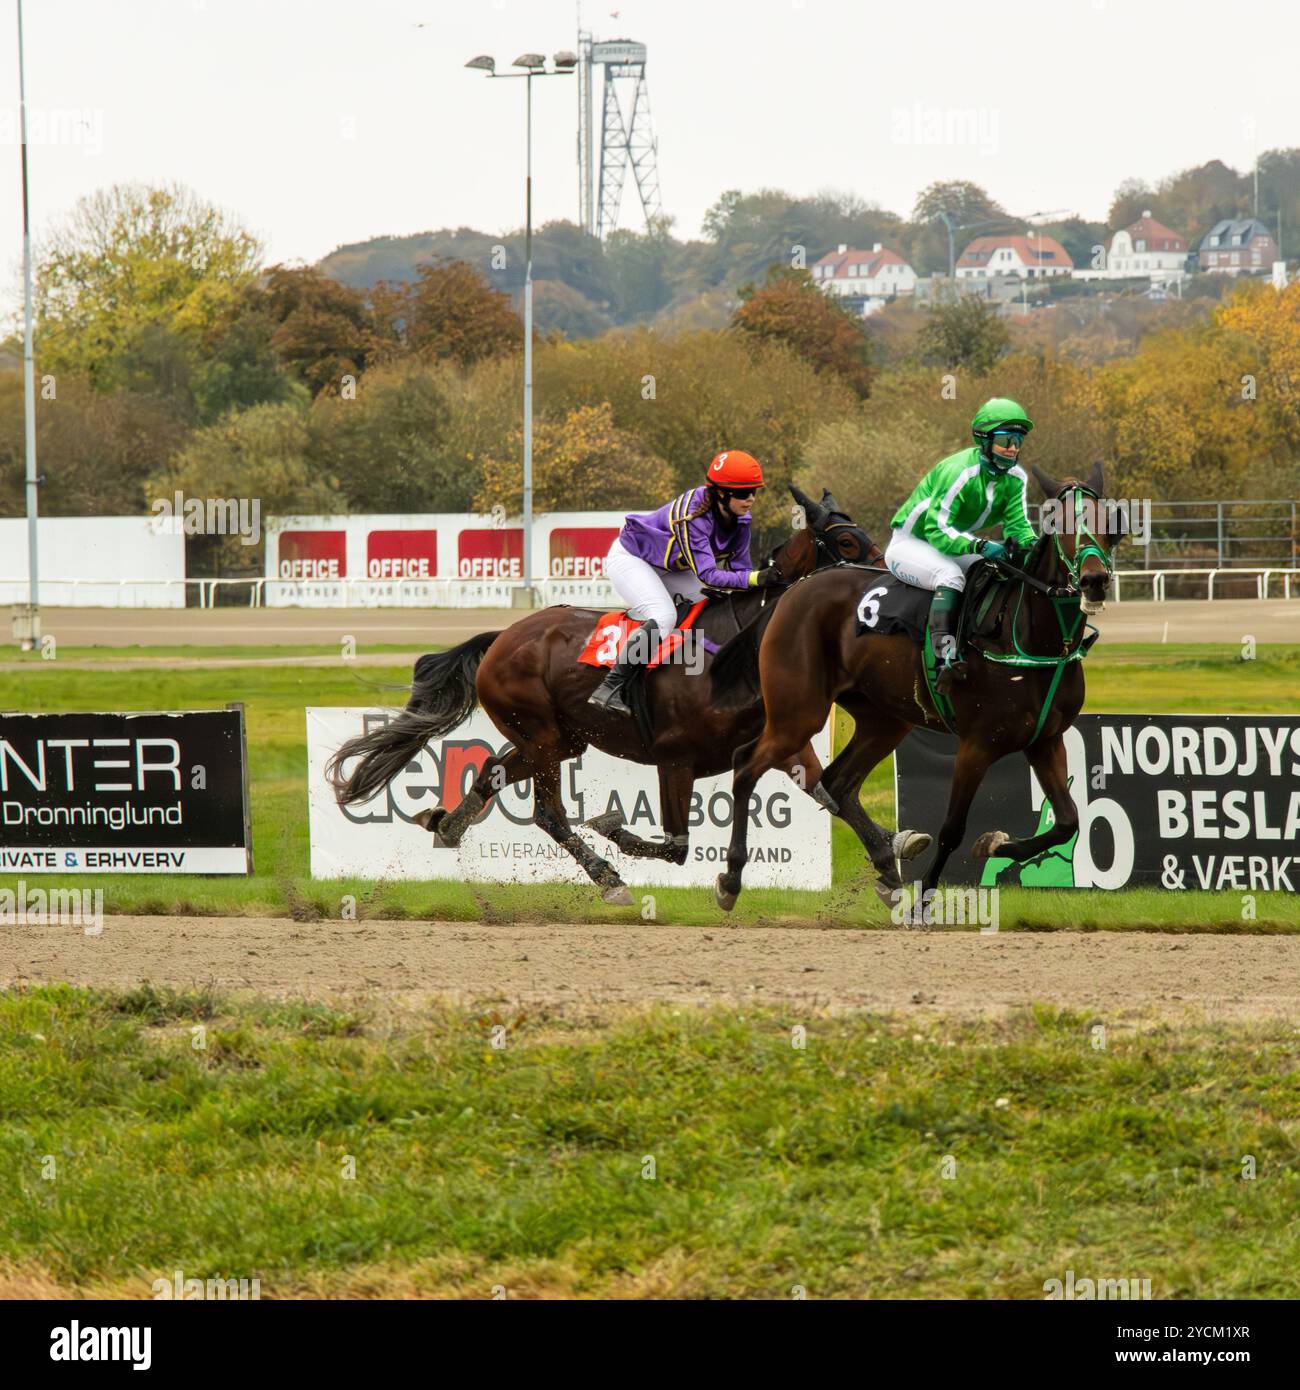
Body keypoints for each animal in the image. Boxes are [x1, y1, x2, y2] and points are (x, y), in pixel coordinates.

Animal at [328, 483, 884, 906]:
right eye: (847, 542)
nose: (884, 579)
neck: (736, 648)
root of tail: (502, 637)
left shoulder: (783, 740)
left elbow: (830, 792)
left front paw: (891, 854)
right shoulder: (675, 758)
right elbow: (676, 846)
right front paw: (615, 827)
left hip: (557, 739)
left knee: (492, 773)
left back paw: (446, 825)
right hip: (542, 736)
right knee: (549, 813)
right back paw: (607, 877)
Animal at [706, 461, 1123, 917]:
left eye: (1113, 523)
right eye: (1058, 524)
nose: (1094, 580)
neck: (1029, 636)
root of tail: (793, 590)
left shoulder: (1044, 739)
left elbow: (1067, 822)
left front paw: (994, 844)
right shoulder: (977, 744)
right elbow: (952, 829)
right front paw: (923, 902)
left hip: (884, 719)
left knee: (836, 782)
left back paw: (888, 870)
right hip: (799, 712)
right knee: (746, 765)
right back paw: (730, 879)